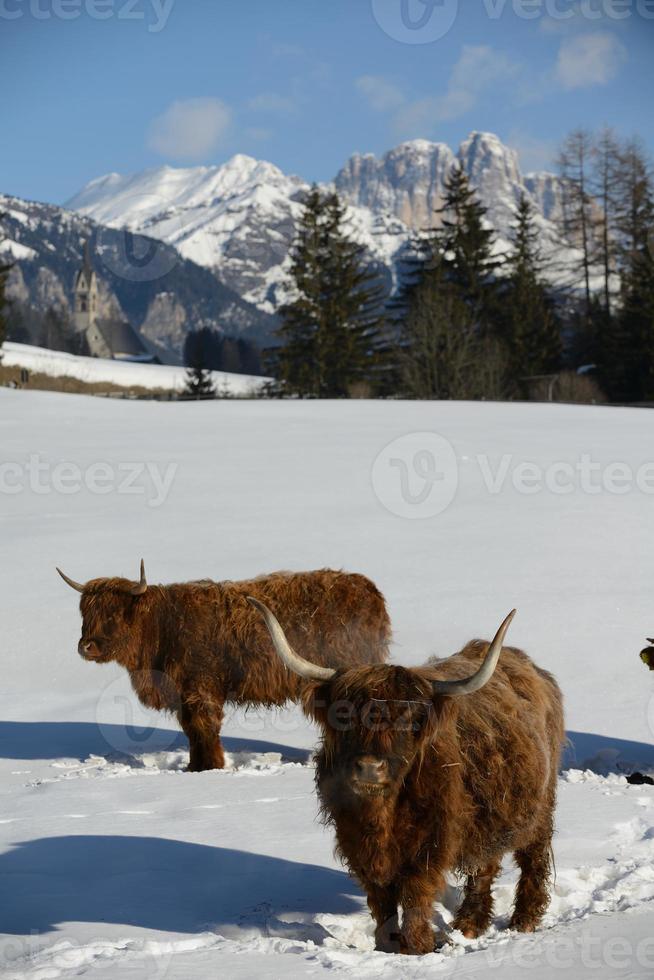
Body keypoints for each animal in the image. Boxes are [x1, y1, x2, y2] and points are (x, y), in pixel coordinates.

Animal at [56, 564, 390, 768]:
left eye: (113, 614)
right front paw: (195, 766)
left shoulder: (200, 689)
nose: (86, 646)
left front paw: (210, 767)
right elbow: (192, 730)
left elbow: (204, 728)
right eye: (86, 614)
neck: (162, 627)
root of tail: (367, 589)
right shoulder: (184, 694)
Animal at [249, 596, 568, 956]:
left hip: (540, 806)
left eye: (408, 719)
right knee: (484, 865)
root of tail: (532, 668)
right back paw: (469, 925)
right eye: (344, 715)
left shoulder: (430, 844)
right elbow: (381, 898)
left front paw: (418, 946)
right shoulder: (358, 844)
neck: (383, 814)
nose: (369, 767)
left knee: (533, 857)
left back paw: (523, 921)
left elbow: (416, 894)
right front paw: (386, 944)